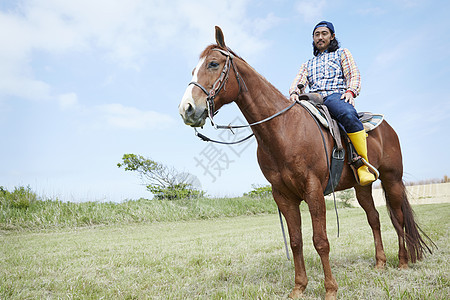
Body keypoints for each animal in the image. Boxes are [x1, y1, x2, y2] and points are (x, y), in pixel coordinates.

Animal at [178, 27, 430, 298]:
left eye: (213, 64)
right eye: (193, 70)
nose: (187, 109)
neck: (284, 129)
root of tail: (387, 128)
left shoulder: (313, 190)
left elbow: (320, 241)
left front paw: (330, 289)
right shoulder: (283, 196)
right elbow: (296, 241)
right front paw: (299, 287)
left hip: (392, 179)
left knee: (398, 218)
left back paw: (403, 262)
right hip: (362, 186)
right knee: (374, 218)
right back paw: (380, 263)